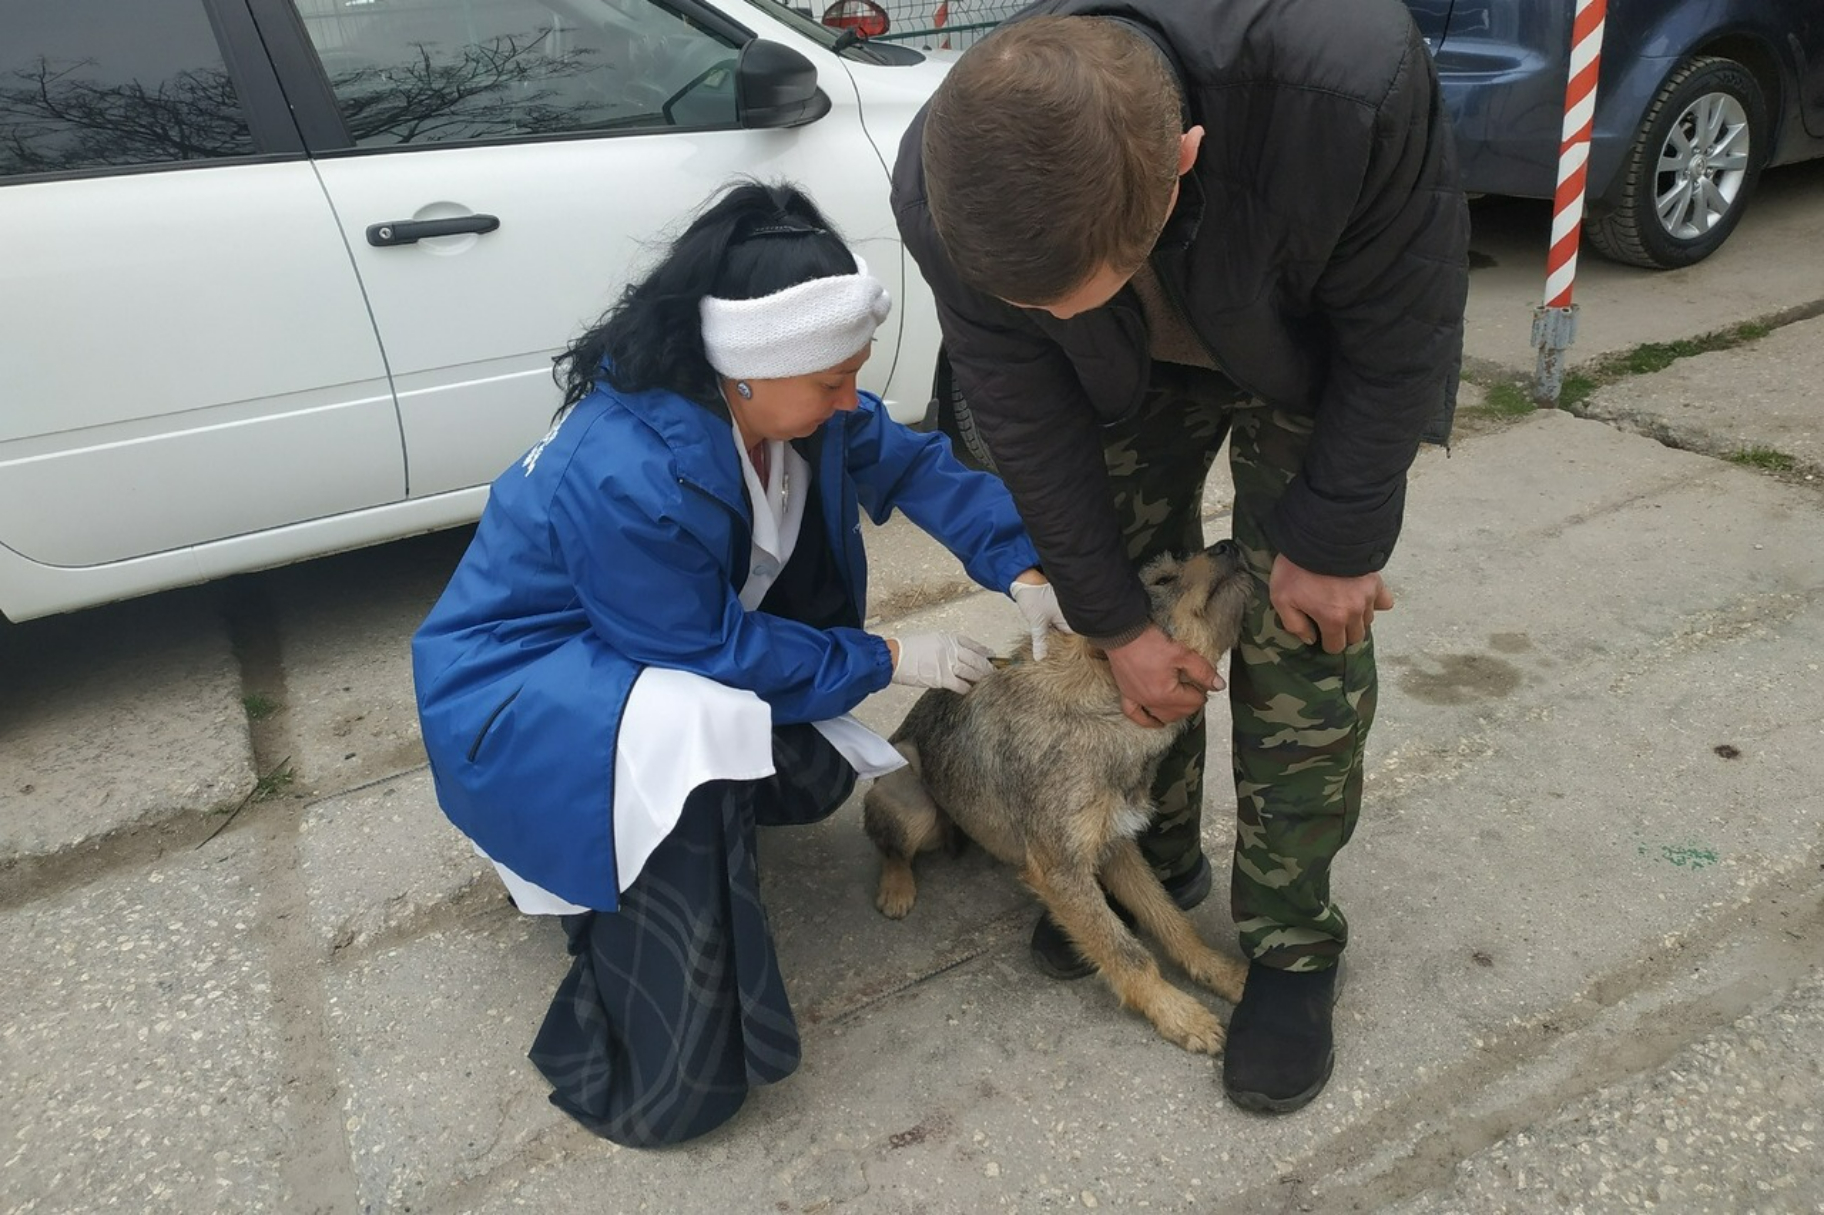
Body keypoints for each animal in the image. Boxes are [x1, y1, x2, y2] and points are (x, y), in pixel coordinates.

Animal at [864, 540, 1254, 1050]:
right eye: (1163, 580)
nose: (1229, 543)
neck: (1102, 710)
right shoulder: (1061, 870)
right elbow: (1126, 951)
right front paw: (1178, 1014)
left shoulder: (1114, 844)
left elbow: (1170, 918)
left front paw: (1216, 970)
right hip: (911, 801)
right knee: (888, 843)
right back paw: (896, 887)